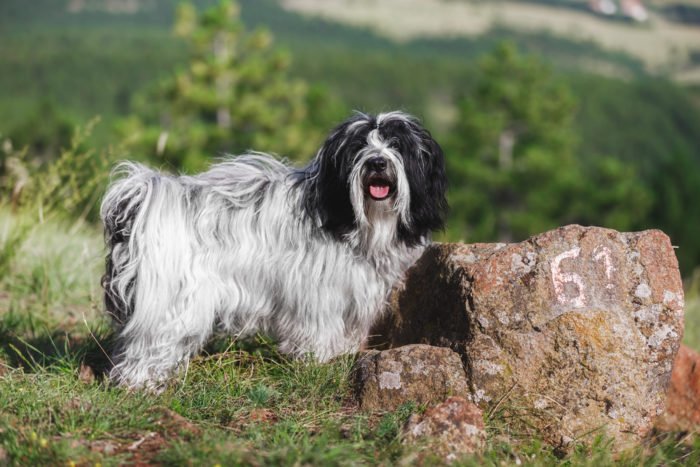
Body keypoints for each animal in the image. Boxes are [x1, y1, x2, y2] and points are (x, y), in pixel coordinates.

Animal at [100, 111, 446, 390]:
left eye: (397, 145)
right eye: (359, 146)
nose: (377, 161)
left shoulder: (353, 294)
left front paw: (342, 357)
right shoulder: (315, 293)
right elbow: (318, 330)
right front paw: (318, 362)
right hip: (172, 301)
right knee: (148, 345)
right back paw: (140, 385)